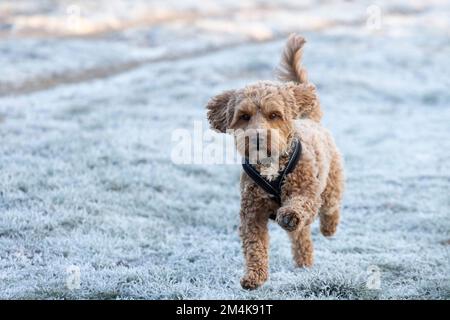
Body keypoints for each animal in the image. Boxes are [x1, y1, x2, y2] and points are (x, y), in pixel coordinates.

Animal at [207, 35, 344, 290]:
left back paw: (327, 228)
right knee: (301, 237)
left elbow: (300, 204)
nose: (258, 137)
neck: (271, 165)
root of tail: (311, 120)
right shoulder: (252, 212)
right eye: (244, 116)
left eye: (274, 115)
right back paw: (304, 262)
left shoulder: (306, 192)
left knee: (330, 207)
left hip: (331, 182)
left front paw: (289, 214)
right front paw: (254, 276)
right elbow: (255, 246)